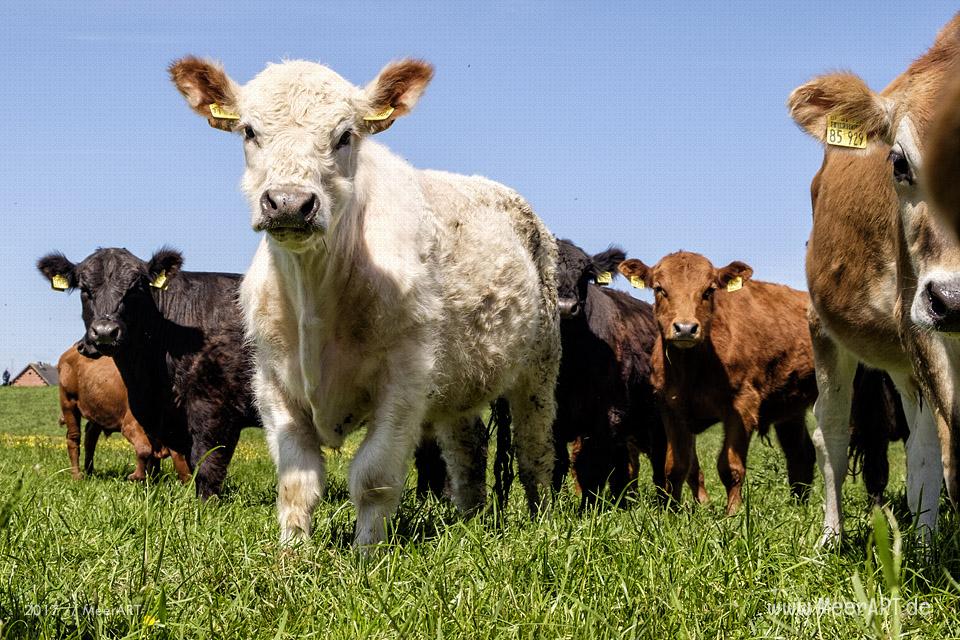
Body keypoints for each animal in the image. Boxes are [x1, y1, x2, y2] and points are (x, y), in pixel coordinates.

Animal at [58, 348, 191, 482]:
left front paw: (153, 480)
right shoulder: (130, 425)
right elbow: (145, 449)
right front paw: (136, 477)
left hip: (98, 410)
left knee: (90, 438)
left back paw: (89, 472)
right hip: (68, 403)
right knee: (73, 438)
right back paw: (77, 476)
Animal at [620, 252, 812, 512]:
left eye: (709, 290)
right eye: (660, 289)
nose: (686, 328)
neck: (692, 370)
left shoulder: (742, 407)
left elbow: (730, 467)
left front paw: (733, 514)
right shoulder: (670, 408)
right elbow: (676, 466)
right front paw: (672, 513)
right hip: (791, 409)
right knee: (800, 453)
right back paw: (799, 506)